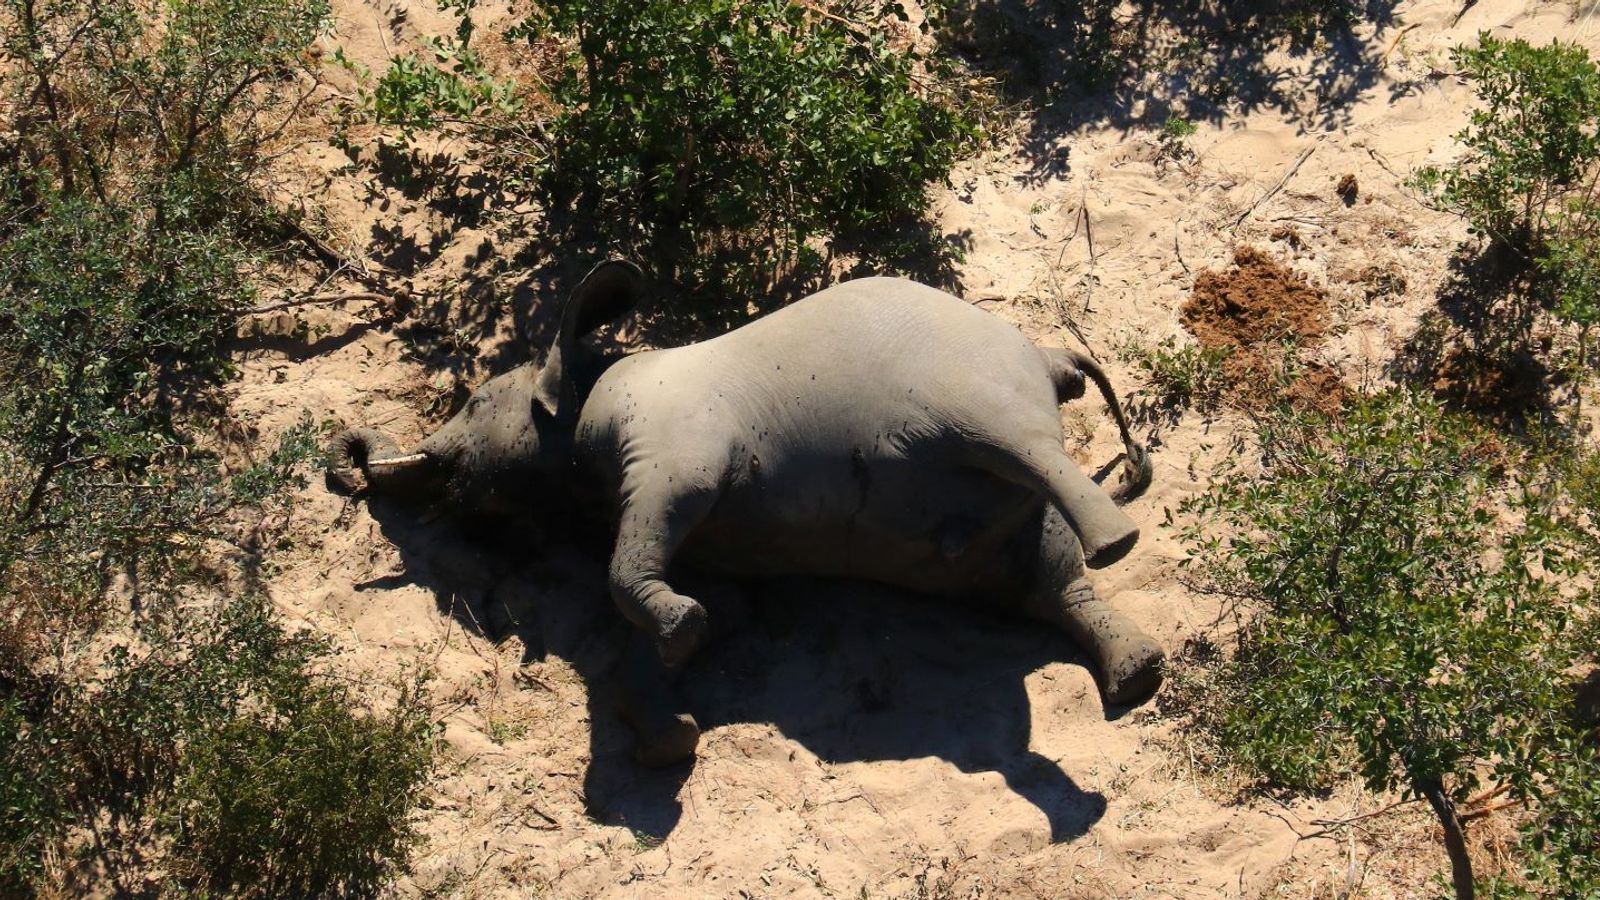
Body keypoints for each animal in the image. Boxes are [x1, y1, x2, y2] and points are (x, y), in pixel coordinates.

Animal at [328, 260, 1163, 766]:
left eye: (474, 403)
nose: (348, 464)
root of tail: (1051, 356)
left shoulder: (673, 447)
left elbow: (630, 562)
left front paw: (679, 638)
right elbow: (703, 607)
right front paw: (671, 729)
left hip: (977, 393)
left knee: (1027, 455)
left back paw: (1118, 546)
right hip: (998, 526)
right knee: (1049, 581)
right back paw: (1138, 676)